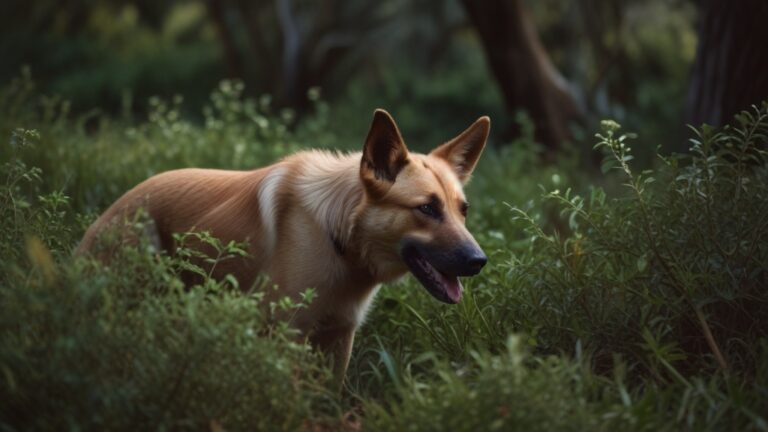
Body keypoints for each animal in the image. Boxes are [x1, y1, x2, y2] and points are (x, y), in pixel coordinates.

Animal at [76, 110, 486, 382]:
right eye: (427, 209)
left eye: (463, 210)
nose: (479, 261)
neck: (335, 236)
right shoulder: (286, 336)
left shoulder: (339, 338)